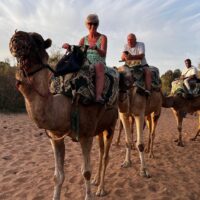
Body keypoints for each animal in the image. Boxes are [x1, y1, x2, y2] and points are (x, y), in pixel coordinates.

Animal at [9, 30, 119, 200]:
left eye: (37, 40)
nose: (17, 37)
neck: (66, 104)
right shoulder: (56, 137)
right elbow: (58, 176)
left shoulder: (86, 135)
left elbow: (86, 172)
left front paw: (89, 194)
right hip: (100, 128)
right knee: (101, 153)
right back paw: (96, 181)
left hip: (111, 125)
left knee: (106, 156)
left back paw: (101, 188)